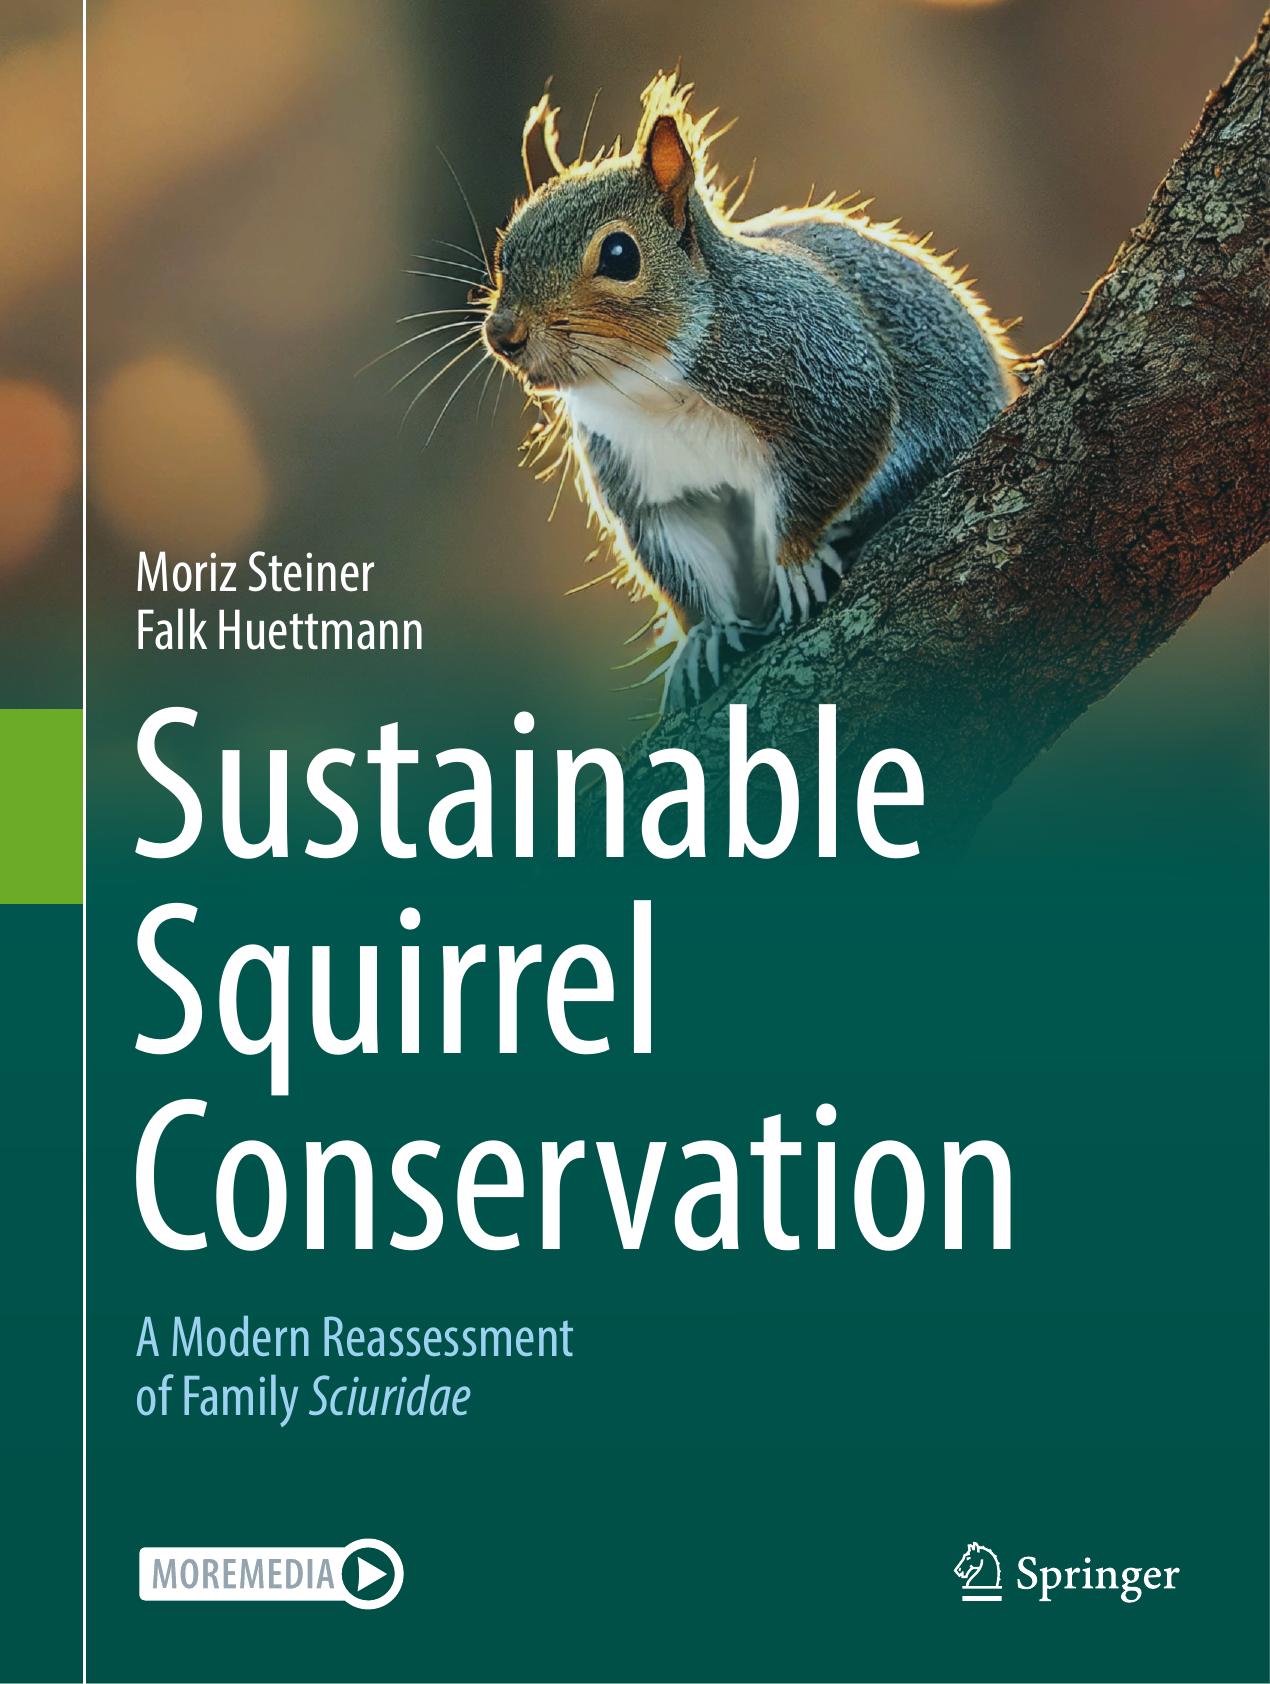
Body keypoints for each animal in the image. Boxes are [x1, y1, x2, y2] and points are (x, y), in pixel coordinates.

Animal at [479, 75, 1018, 711]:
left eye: (619, 255)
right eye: (506, 249)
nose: (503, 335)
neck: (650, 390)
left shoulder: (822, 369)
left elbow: (839, 450)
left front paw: (795, 559)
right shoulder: (650, 482)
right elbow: (682, 559)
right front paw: (704, 638)